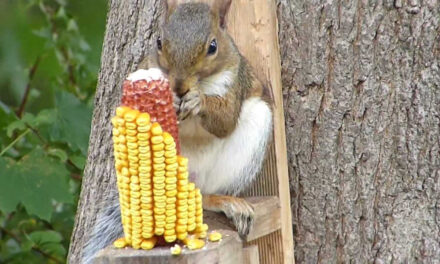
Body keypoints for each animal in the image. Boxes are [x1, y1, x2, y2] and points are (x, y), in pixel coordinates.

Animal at [81, 1, 270, 262]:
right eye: (159, 42)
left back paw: (226, 203)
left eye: (213, 46)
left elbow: (225, 120)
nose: (179, 87)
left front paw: (198, 100)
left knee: (205, 195)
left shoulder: (235, 82)